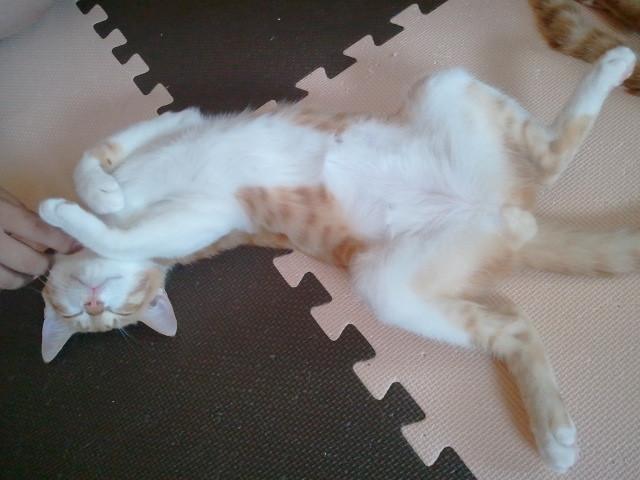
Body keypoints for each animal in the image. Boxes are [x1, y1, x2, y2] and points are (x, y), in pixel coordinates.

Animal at [38, 47, 638, 473]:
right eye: (92, 321)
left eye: (111, 314)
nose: (95, 306)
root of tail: (497, 205)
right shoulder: (200, 219)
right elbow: (122, 233)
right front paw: (90, 211)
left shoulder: (178, 124)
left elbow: (90, 162)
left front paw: (83, 199)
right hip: (387, 284)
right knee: (513, 319)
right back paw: (554, 432)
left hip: (442, 87)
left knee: (550, 160)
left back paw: (611, 65)